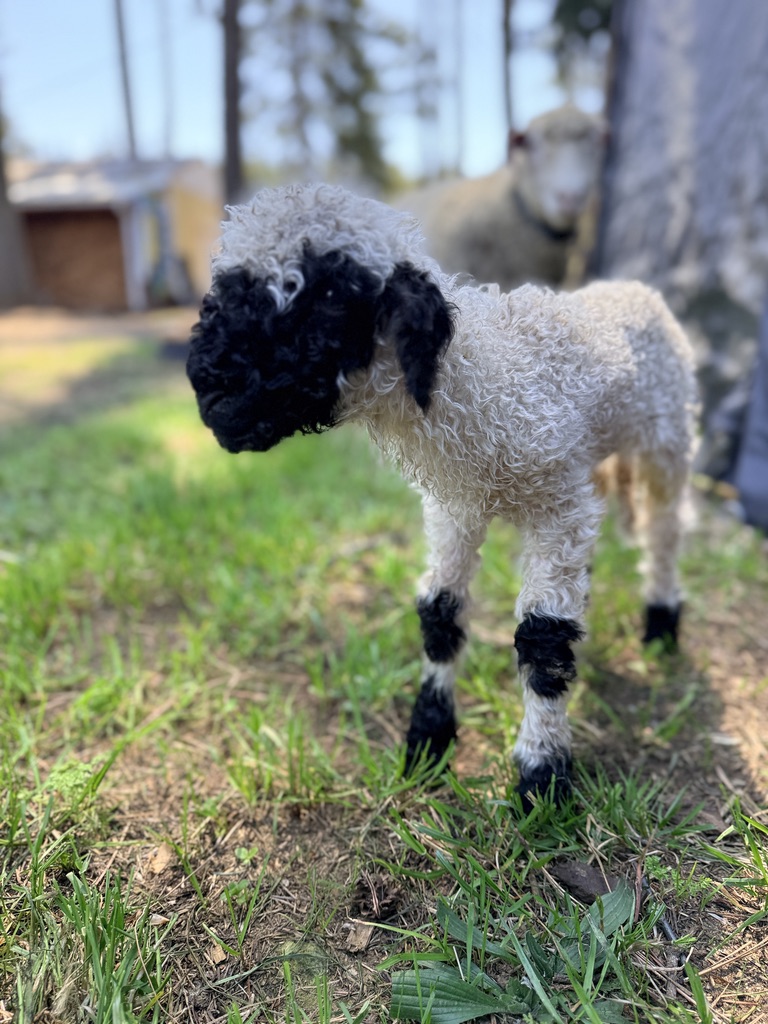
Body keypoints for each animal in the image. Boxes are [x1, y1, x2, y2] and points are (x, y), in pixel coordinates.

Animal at [186, 183, 698, 808]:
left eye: (330, 292)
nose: (211, 391)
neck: (487, 383)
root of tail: (638, 289)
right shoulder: (456, 508)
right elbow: (440, 614)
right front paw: (427, 744)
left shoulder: (557, 502)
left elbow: (543, 638)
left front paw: (541, 779)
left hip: (667, 439)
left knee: (665, 531)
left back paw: (661, 628)